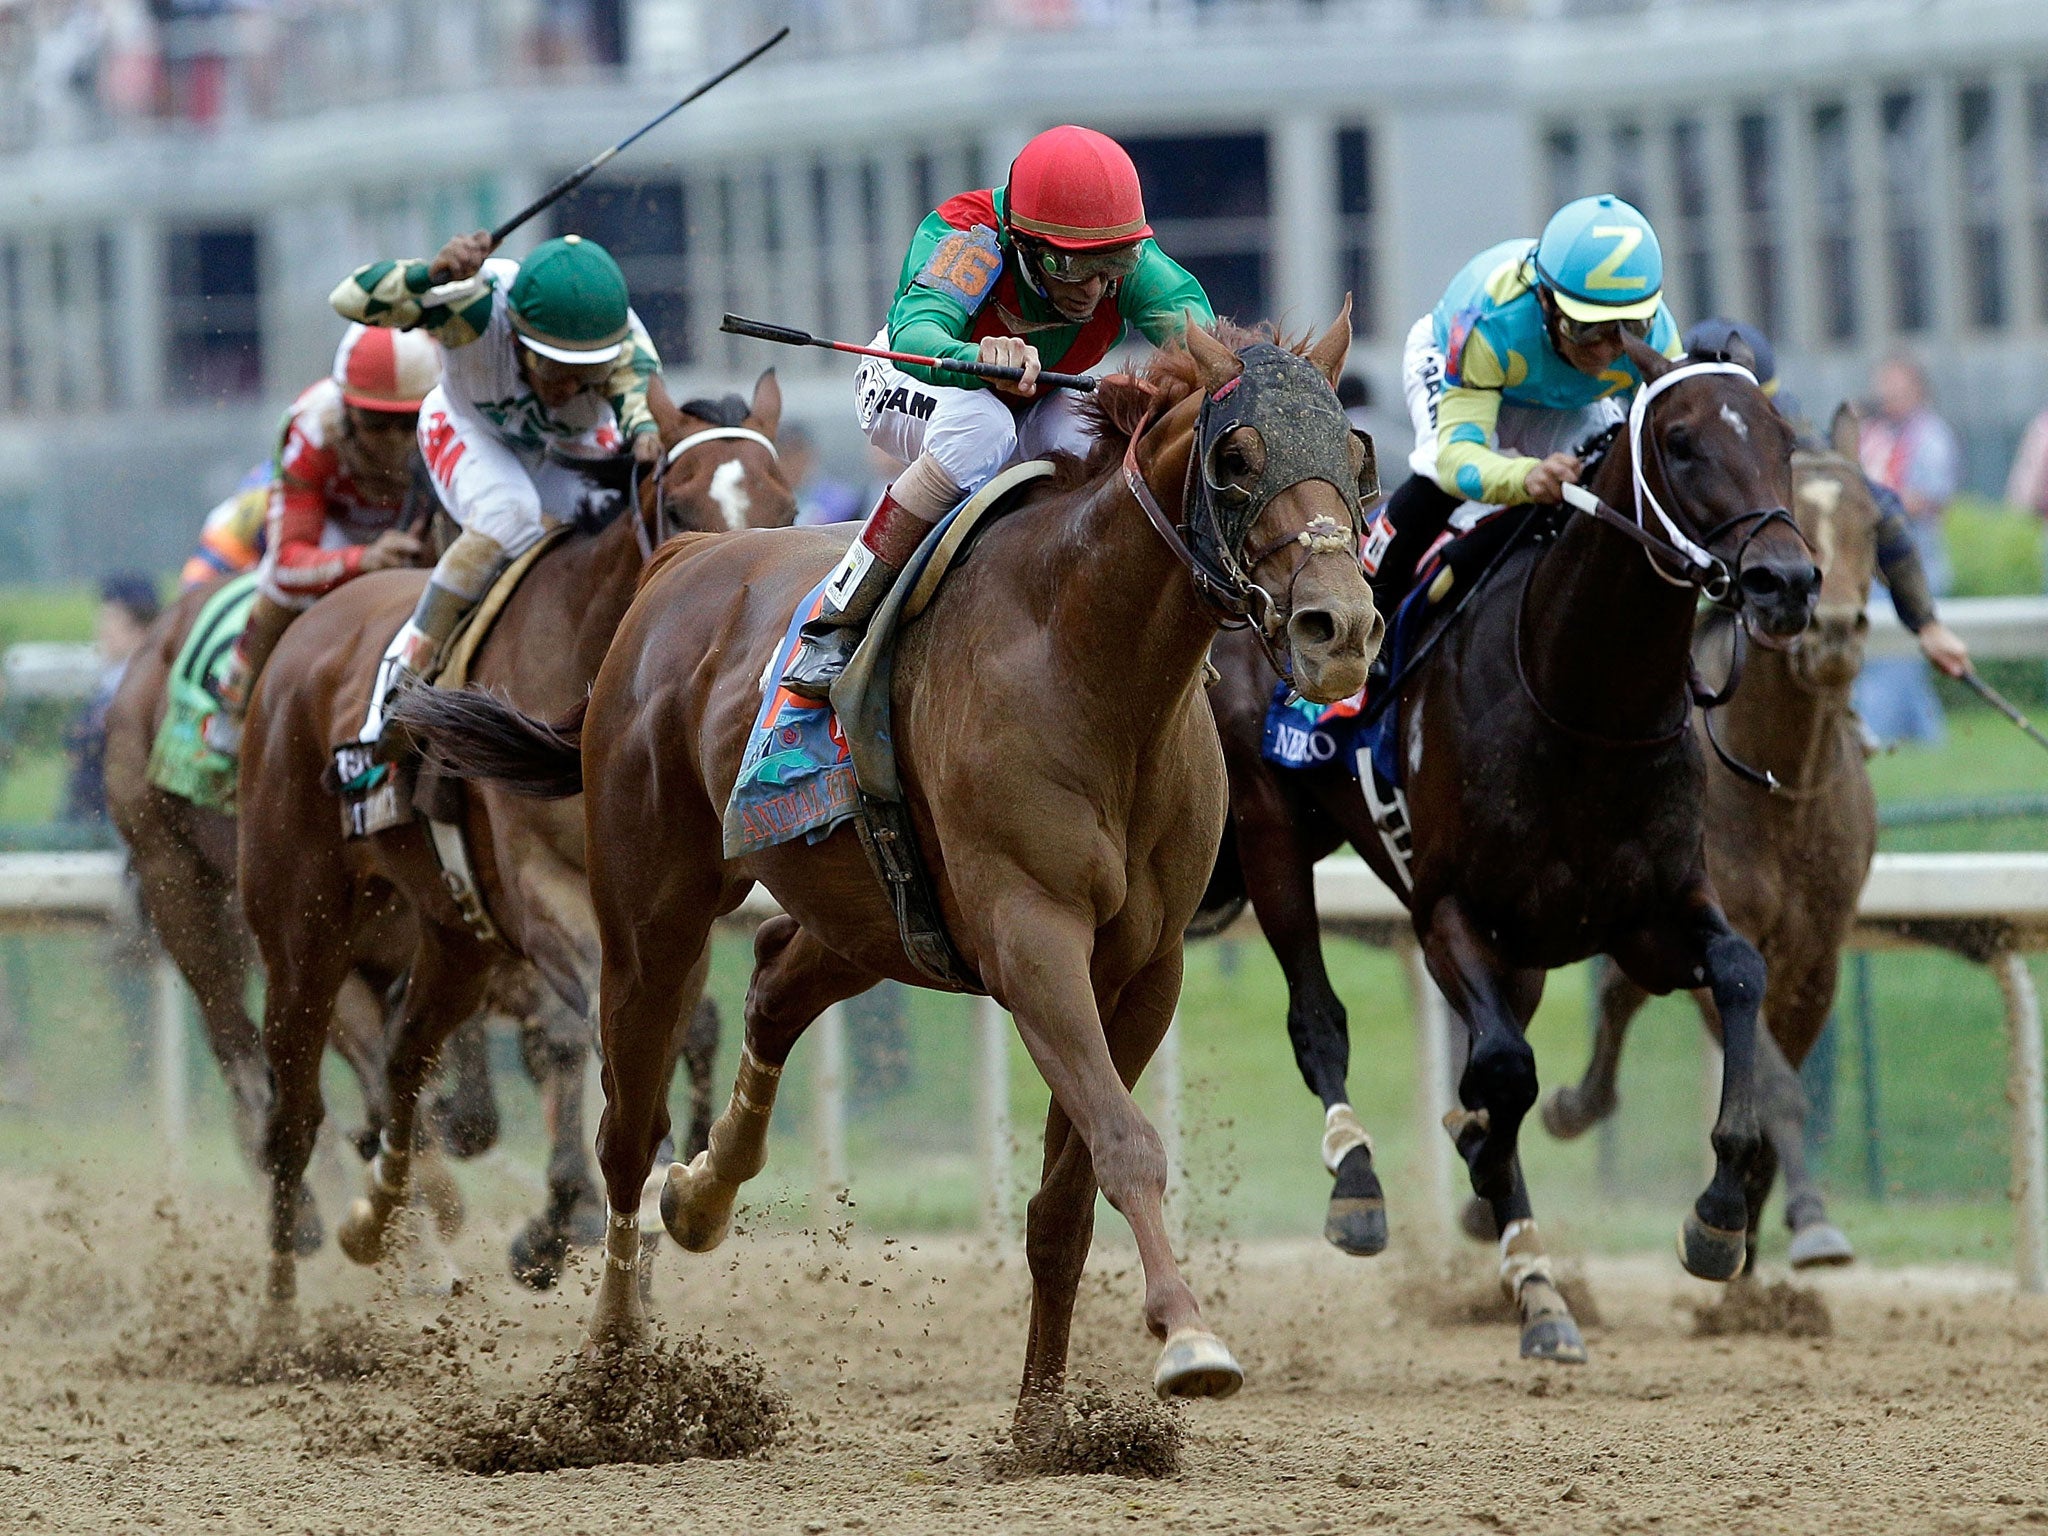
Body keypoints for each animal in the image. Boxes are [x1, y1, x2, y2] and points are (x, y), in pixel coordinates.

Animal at [235, 372, 786, 1310]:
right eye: (680, 506)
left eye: (784, 505)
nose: (739, 633)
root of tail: (305, 634)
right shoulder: (538, 886)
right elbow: (577, 1034)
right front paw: (559, 1223)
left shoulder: (674, 914)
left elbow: (669, 1036)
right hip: (302, 928)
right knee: (295, 1112)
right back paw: (277, 1312)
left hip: (457, 934)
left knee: (404, 1057)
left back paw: (375, 1218)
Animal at [391, 319, 1384, 1441]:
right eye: (1234, 459)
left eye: (1356, 457)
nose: (1341, 628)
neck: (1089, 665)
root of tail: (677, 563)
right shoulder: (1030, 936)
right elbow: (1125, 1143)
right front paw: (1187, 1341)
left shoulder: (1146, 965)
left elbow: (1067, 1195)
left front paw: (1045, 1424)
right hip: (648, 917)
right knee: (625, 1128)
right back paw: (612, 1367)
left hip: (873, 915)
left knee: (775, 981)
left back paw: (701, 1196)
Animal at [1204, 342, 1818, 1368]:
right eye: (1681, 442)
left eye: (1785, 438)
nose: (1788, 582)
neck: (1582, 703)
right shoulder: (1450, 914)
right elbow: (1503, 1071)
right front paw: (1477, 1149)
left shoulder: (1651, 915)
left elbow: (1737, 972)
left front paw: (1718, 1213)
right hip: (1269, 826)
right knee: (1318, 1018)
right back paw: (1366, 1188)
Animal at [1540, 399, 1875, 1277]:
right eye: (1804, 515)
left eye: (1872, 521)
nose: (1832, 629)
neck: (1777, 786)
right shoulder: (1716, 923)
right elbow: (1780, 1086)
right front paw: (1807, 1221)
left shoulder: (1817, 958)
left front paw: (1755, 1224)